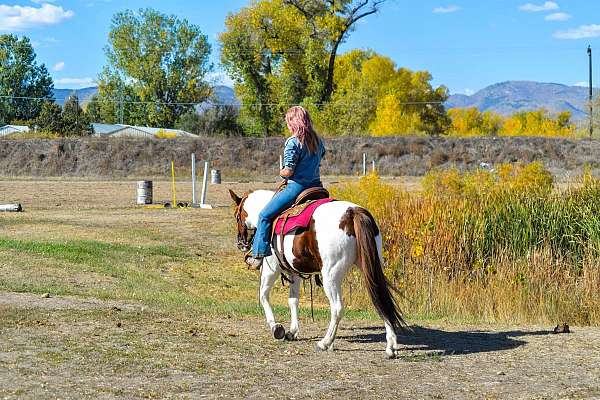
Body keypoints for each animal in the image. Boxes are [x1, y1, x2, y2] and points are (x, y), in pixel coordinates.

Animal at [230, 188, 408, 360]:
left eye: (237, 215)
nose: (240, 242)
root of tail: (352, 212)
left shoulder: (271, 268)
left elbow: (263, 295)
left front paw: (276, 327)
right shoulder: (294, 272)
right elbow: (293, 300)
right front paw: (292, 332)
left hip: (331, 276)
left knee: (337, 308)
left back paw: (325, 342)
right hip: (370, 269)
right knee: (381, 300)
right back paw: (391, 348)